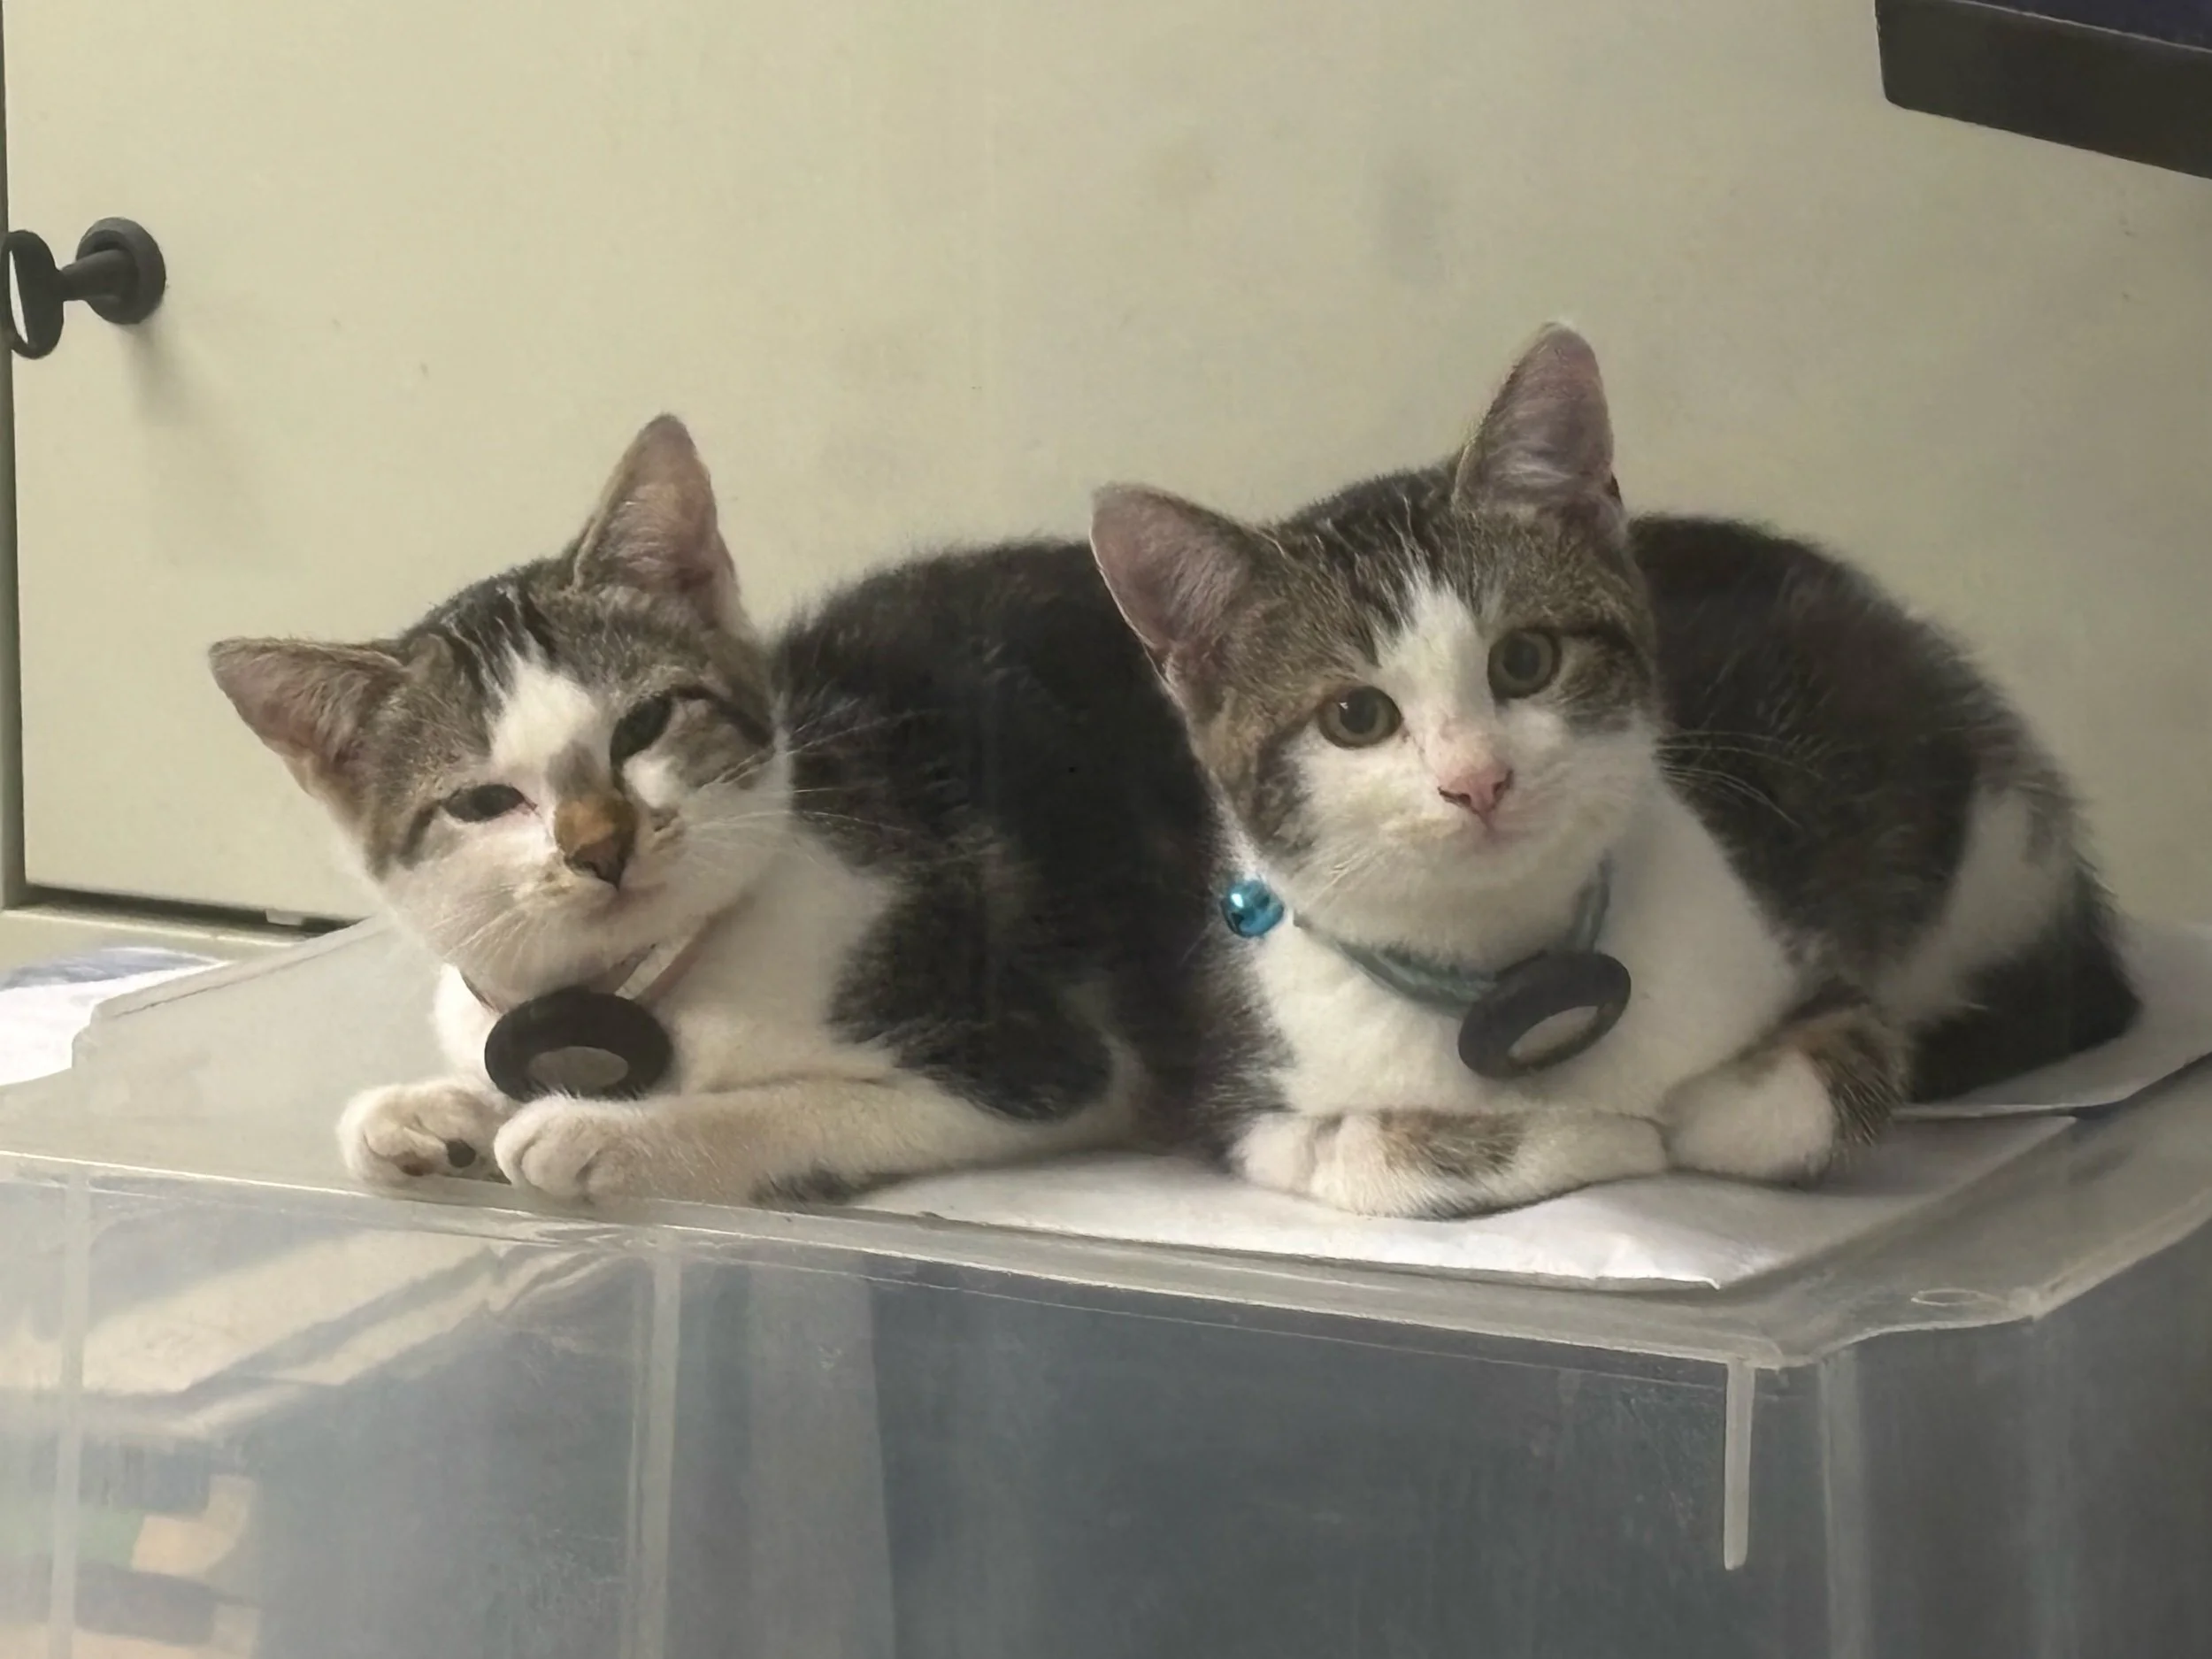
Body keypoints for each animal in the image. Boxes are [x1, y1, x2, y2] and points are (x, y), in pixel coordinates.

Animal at [210, 418, 1242, 1206]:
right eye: (482, 802)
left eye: (645, 724)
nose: (601, 844)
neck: (649, 981)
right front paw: (436, 1109)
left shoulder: (1049, 1059)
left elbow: (810, 1105)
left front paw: (607, 1135)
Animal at [1088, 324, 2140, 1218]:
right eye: (1356, 717)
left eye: (1524, 660)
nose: (1477, 780)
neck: (1507, 960)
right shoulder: (1230, 1094)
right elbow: (1360, 1154)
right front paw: (1599, 1135)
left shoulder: (1810, 942)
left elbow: (1821, 1083)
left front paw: (1690, 1112)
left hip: (1980, 827)